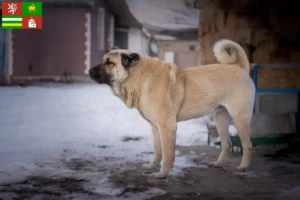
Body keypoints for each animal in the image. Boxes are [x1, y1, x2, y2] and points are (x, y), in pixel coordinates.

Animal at [89, 39, 255, 178]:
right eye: (103, 61)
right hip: (220, 119)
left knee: (247, 145)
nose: (90, 71)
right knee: (227, 145)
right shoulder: (155, 128)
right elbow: (157, 152)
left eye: (109, 63)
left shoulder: (166, 128)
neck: (139, 78)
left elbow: (167, 155)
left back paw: (243, 167)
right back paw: (219, 164)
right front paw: (151, 166)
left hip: (240, 119)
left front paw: (162, 174)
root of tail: (240, 67)